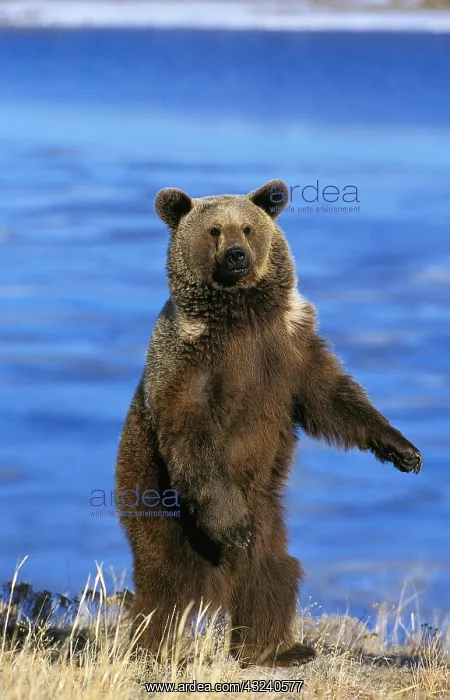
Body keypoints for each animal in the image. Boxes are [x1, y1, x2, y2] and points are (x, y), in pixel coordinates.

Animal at [115, 180, 423, 667]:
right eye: (215, 230)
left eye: (247, 227)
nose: (237, 255)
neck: (241, 317)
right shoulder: (187, 365)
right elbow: (191, 434)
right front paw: (231, 526)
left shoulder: (288, 349)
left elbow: (332, 396)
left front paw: (403, 450)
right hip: (154, 496)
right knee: (167, 586)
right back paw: (154, 652)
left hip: (267, 512)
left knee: (271, 573)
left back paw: (277, 648)